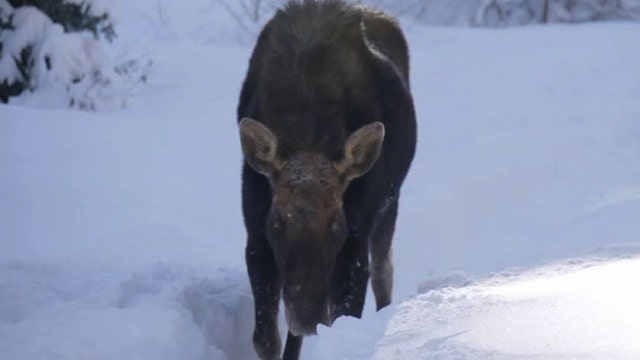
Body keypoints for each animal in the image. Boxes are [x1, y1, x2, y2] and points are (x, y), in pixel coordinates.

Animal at [235, 1, 416, 358]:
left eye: (335, 223)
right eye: (277, 222)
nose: (307, 317)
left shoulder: (355, 235)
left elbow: (345, 314)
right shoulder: (256, 232)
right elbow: (265, 338)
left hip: (389, 205)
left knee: (384, 271)